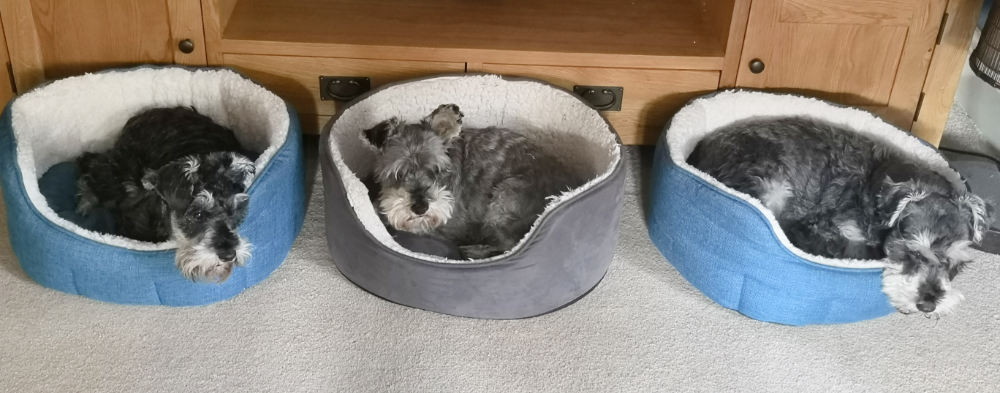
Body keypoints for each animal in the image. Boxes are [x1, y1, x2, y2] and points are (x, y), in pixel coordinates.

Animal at [692, 115, 996, 316]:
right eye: (912, 252)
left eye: (955, 263)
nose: (927, 304)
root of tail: (698, 152)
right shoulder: (833, 230)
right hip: (770, 185)